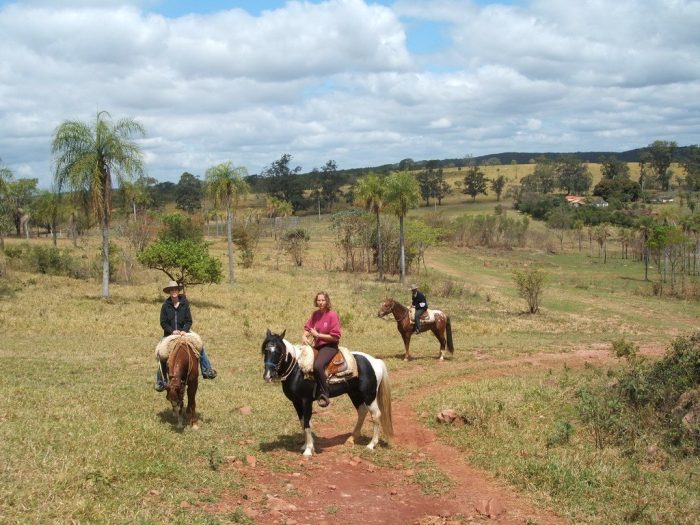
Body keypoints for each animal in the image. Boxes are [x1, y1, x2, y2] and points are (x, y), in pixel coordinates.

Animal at [262, 328, 394, 454]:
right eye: (265, 350)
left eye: (279, 351)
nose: (268, 375)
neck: (297, 369)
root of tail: (375, 361)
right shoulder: (296, 402)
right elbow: (303, 422)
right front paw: (306, 445)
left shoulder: (306, 401)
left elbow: (307, 423)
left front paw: (308, 450)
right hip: (355, 393)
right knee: (362, 411)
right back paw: (351, 439)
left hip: (369, 395)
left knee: (376, 415)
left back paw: (371, 445)